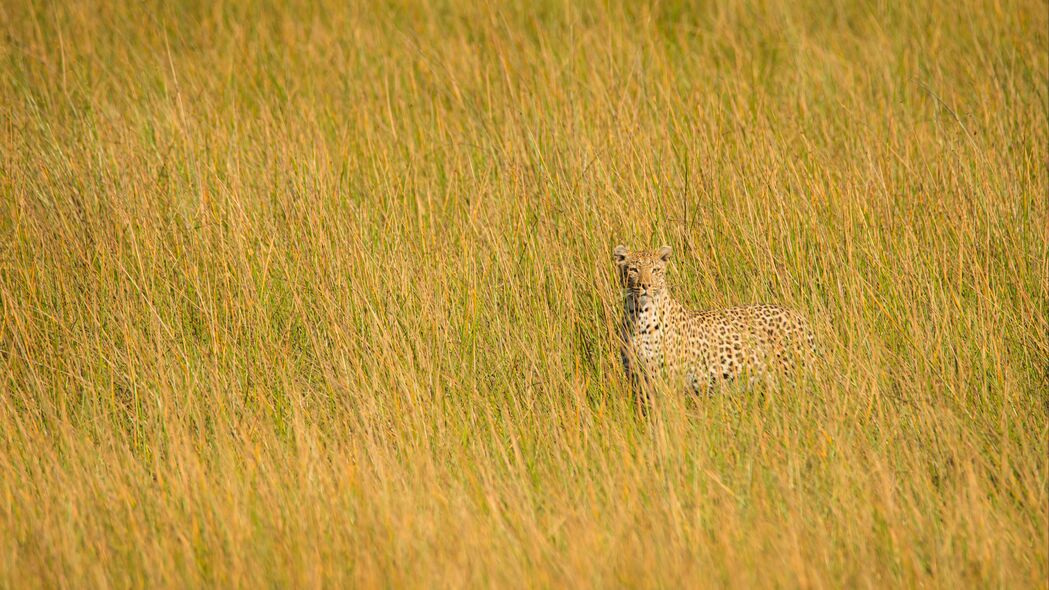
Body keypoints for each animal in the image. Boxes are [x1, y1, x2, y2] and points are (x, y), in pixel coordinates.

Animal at [612, 243, 818, 398]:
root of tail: (798, 316)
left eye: (655, 270)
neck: (638, 315)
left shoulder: (667, 381)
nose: (645, 285)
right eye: (633, 269)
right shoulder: (636, 379)